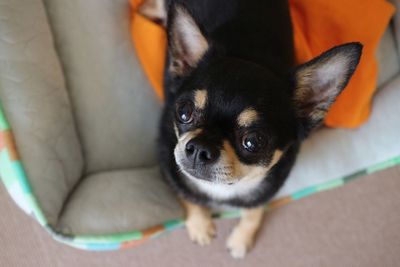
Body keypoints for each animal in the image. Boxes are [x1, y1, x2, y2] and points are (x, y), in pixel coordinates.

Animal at [139, 0, 360, 260]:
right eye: (184, 112)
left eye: (253, 142)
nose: (200, 148)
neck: (224, 189)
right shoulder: (169, 165)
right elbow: (187, 197)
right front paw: (200, 226)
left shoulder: (268, 187)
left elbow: (254, 210)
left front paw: (241, 239)